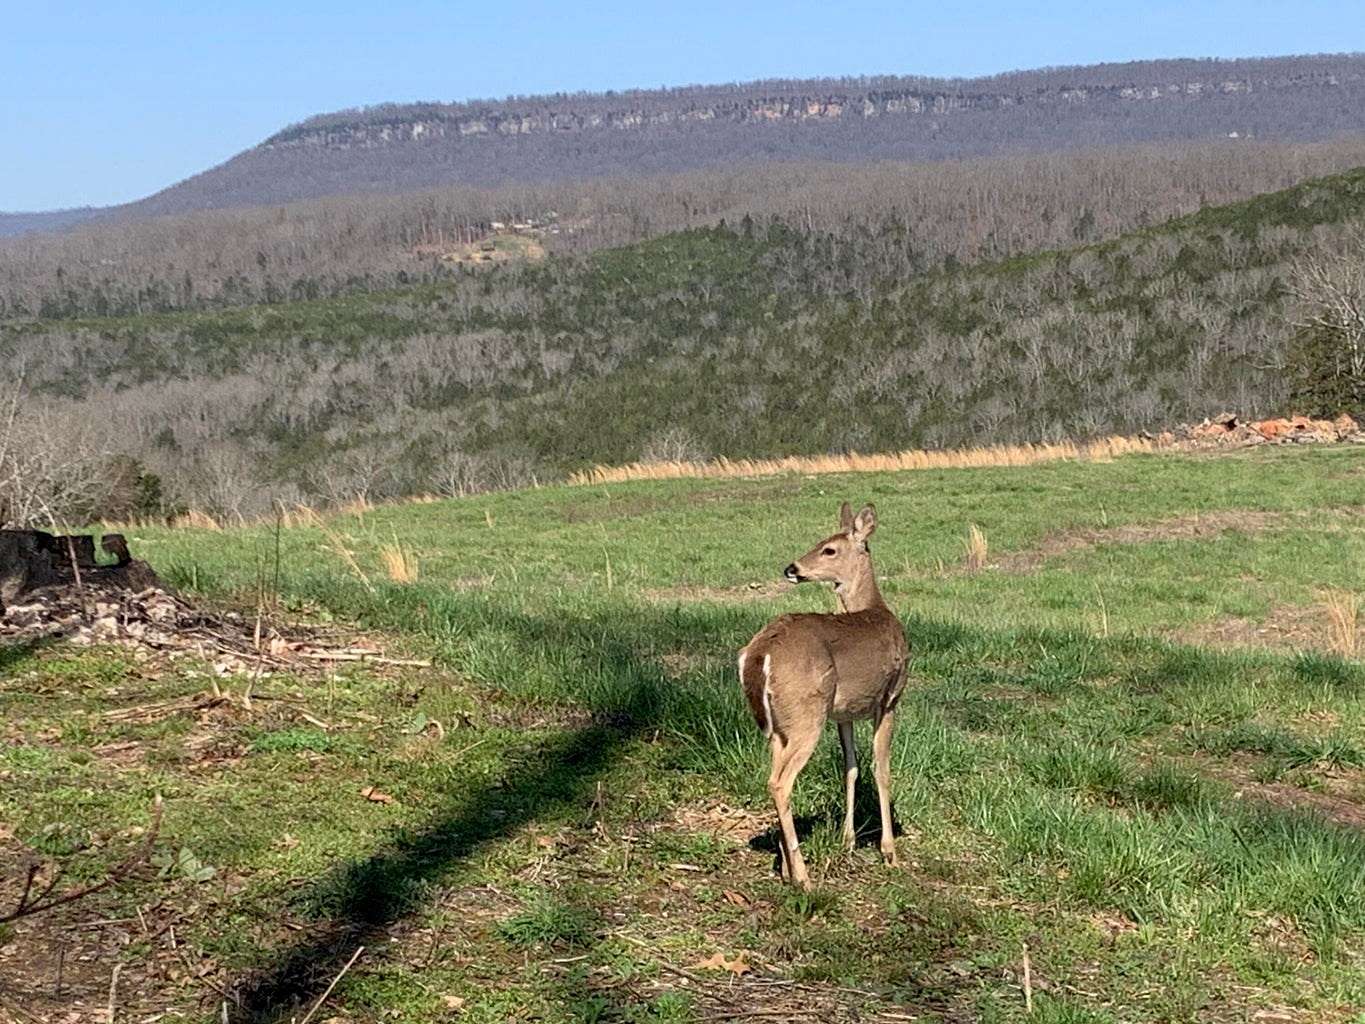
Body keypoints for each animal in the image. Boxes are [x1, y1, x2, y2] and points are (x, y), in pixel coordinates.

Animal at [731, 502, 911, 890]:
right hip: (807, 712)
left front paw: (847, 841)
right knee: (780, 782)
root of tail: (759, 651)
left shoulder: (844, 713)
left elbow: (851, 768)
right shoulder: (890, 698)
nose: (792, 568)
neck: (875, 609)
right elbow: (881, 769)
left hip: (780, 725)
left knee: (774, 775)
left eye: (828, 549)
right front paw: (889, 852)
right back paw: (803, 876)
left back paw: (786, 867)